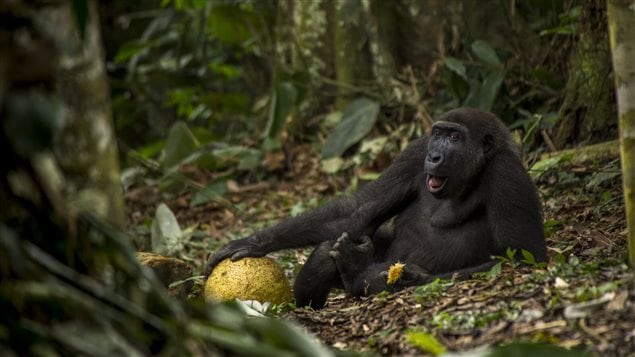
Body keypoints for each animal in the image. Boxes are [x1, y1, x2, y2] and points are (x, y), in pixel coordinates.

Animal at [205, 107, 548, 308]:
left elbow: (522, 257)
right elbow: (358, 210)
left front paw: (412, 277)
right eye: (438, 134)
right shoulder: (415, 152)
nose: (435, 156)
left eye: (455, 137)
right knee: (332, 244)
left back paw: (356, 273)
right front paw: (255, 242)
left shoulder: (506, 174)